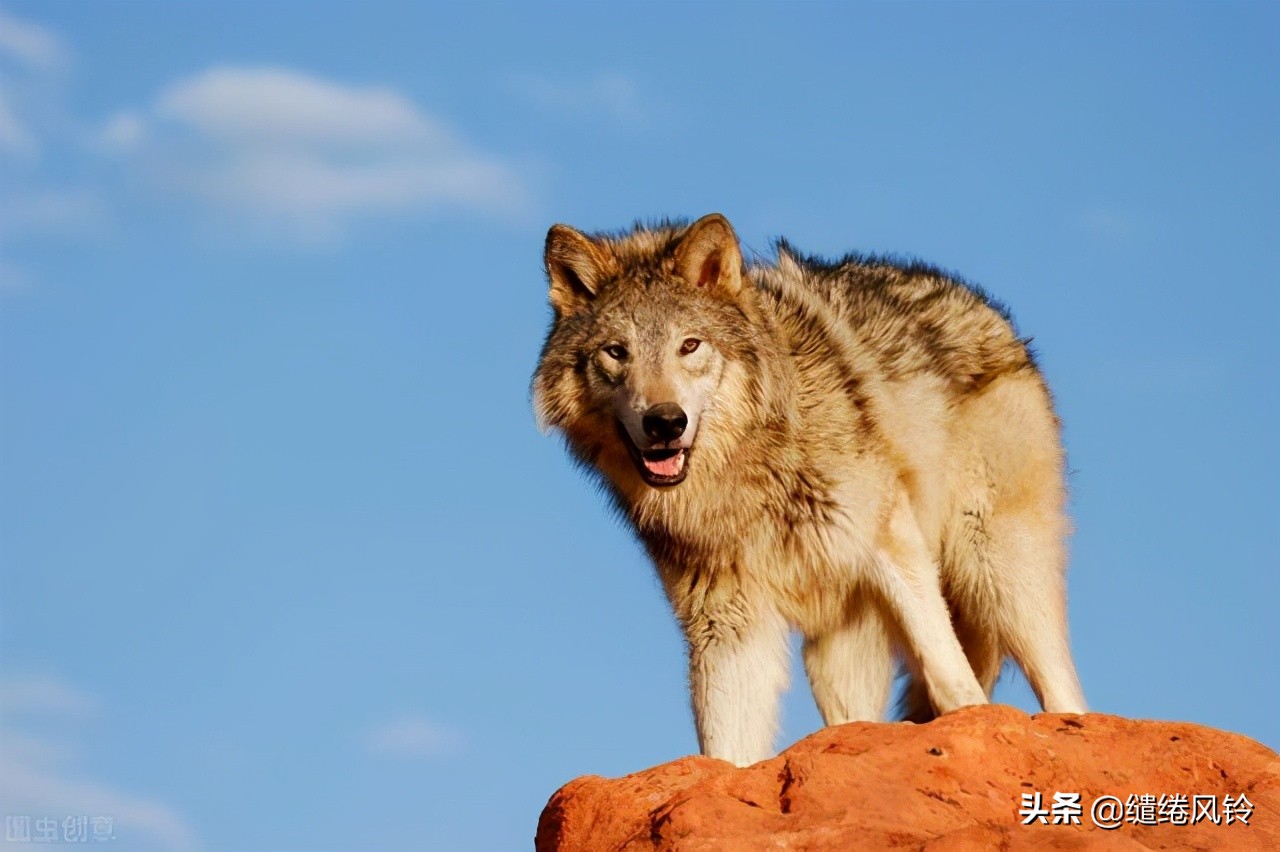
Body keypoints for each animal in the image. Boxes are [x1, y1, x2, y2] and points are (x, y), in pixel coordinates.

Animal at [527, 211, 1080, 762]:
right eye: (616, 353)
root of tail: (991, 315)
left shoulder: (891, 541)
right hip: (837, 657)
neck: (746, 473)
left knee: (1066, 694)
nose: (666, 422)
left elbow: (952, 679)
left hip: (997, 573)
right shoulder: (727, 622)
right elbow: (725, 750)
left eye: (690, 345)